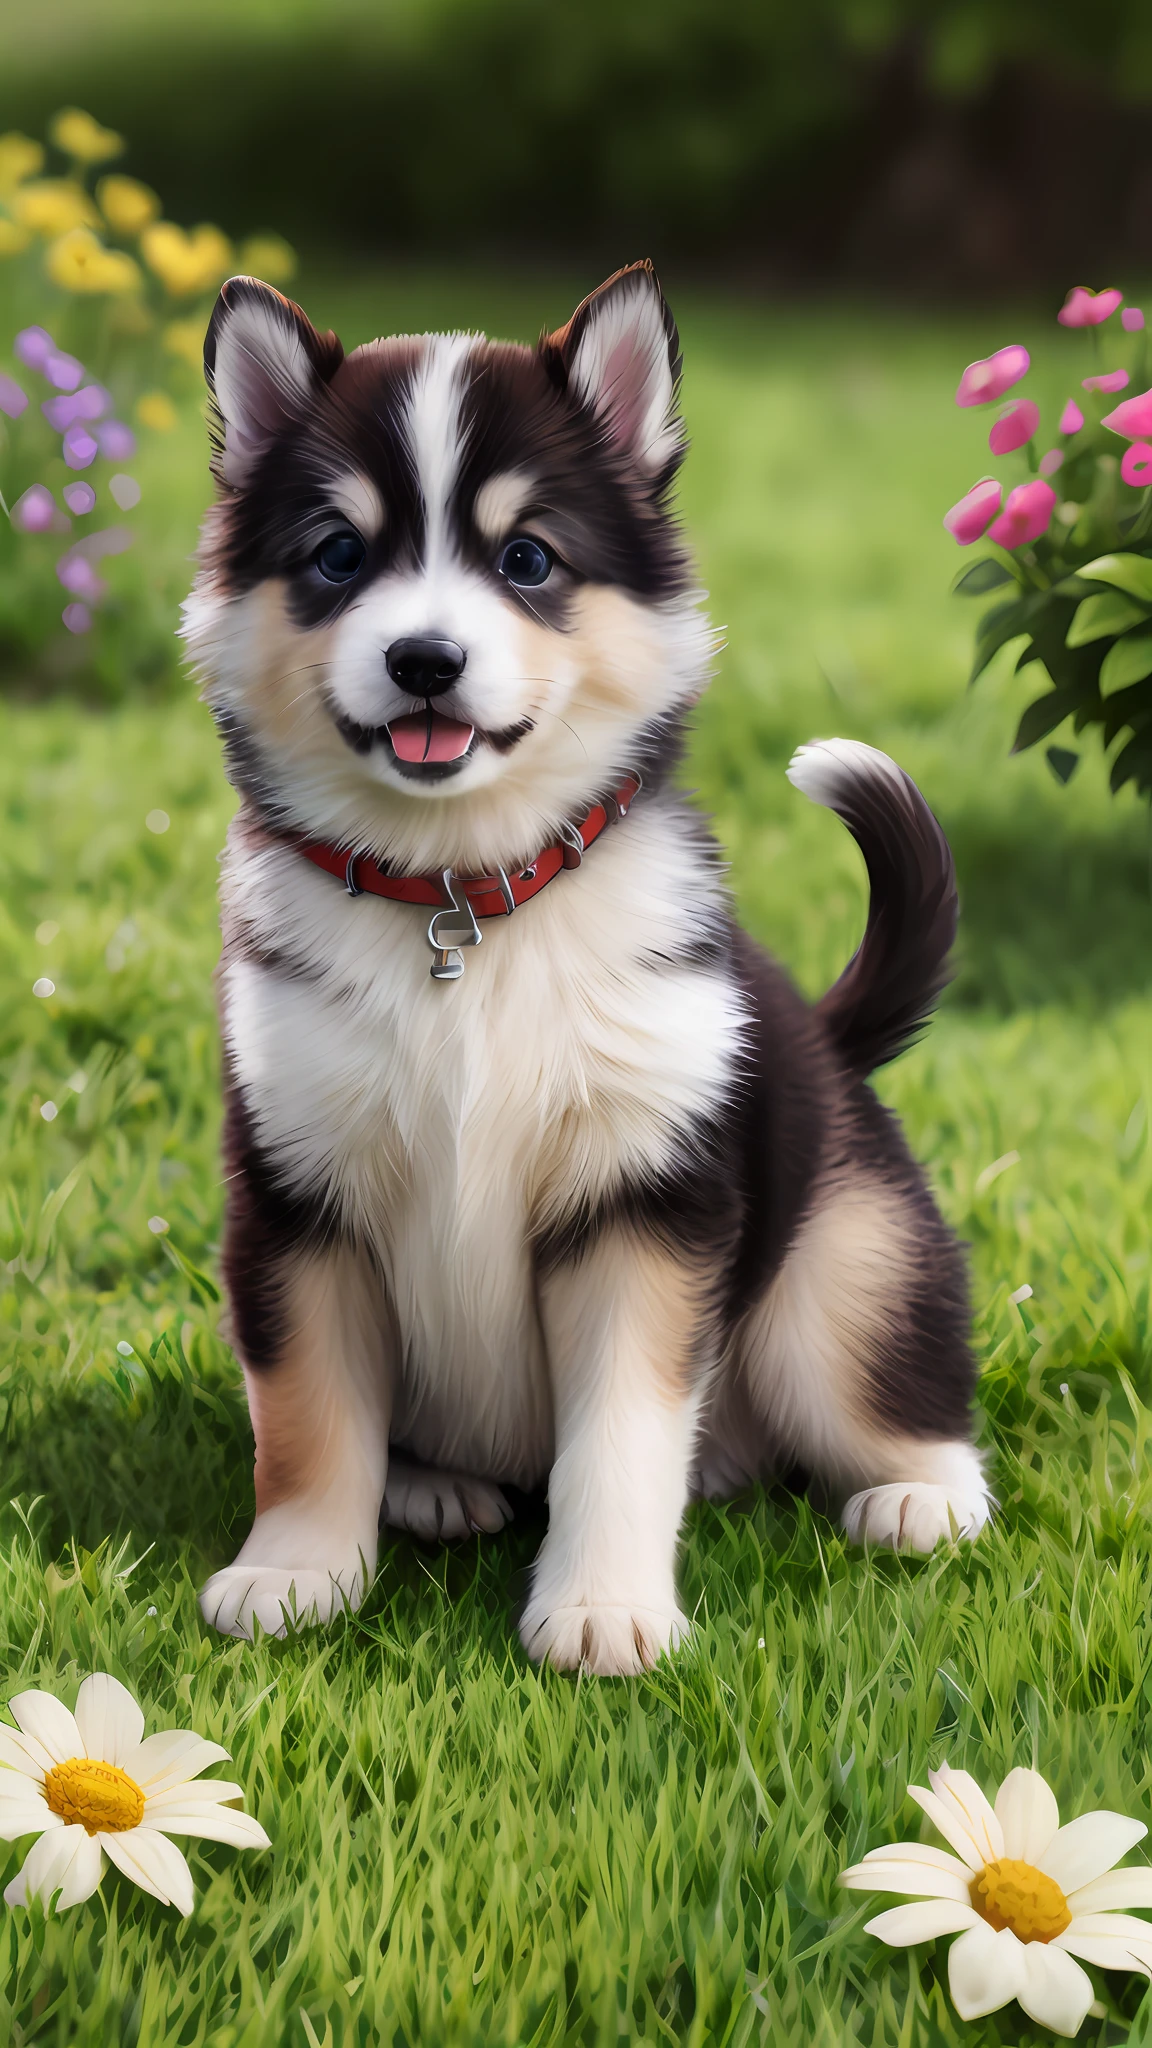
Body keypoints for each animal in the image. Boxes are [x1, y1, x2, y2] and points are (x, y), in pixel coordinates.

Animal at [188, 256, 988, 1671]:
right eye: (338, 555)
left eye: (528, 558)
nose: (425, 659)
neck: (462, 901)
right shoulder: (295, 1189)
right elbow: (307, 1412)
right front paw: (294, 1571)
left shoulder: (643, 1199)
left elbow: (618, 1431)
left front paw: (605, 1607)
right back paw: (430, 1485)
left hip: (841, 1261)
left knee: (893, 1386)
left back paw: (918, 1496)